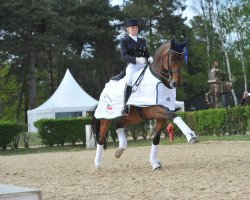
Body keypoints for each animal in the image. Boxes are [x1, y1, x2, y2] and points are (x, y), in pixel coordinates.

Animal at [92, 39, 199, 170]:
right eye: (171, 58)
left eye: (182, 58)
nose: (176, 83)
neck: (159, 79)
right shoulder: (156, 110)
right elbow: (175, 116)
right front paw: (191, 136)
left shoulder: (161, 116)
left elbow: (156, 139)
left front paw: (155, 163)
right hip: (106, 118)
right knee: (101, 139)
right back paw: (97, 164)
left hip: (134, 118)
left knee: (118, 125)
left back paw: (120, 149)